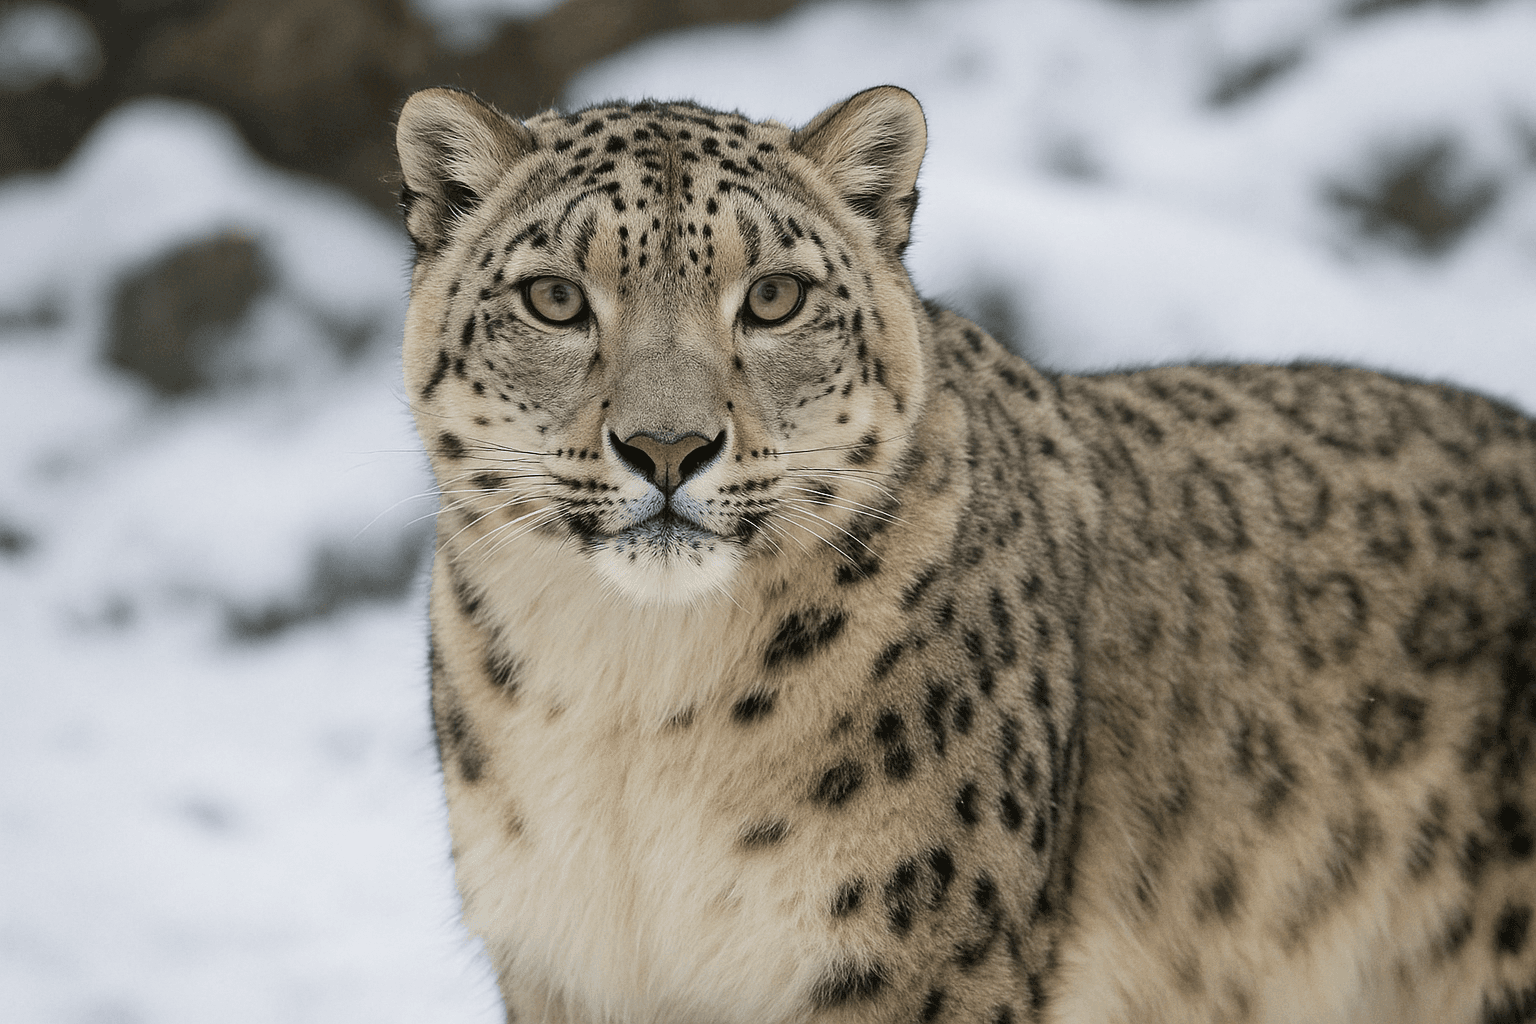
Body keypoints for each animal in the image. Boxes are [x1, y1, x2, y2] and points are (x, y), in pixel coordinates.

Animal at [392, 83, 1536, 1024]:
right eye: (553, 297)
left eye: (773, 296)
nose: (667, 446)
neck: (631, 701)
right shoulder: (563, 964)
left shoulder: (921, 951)